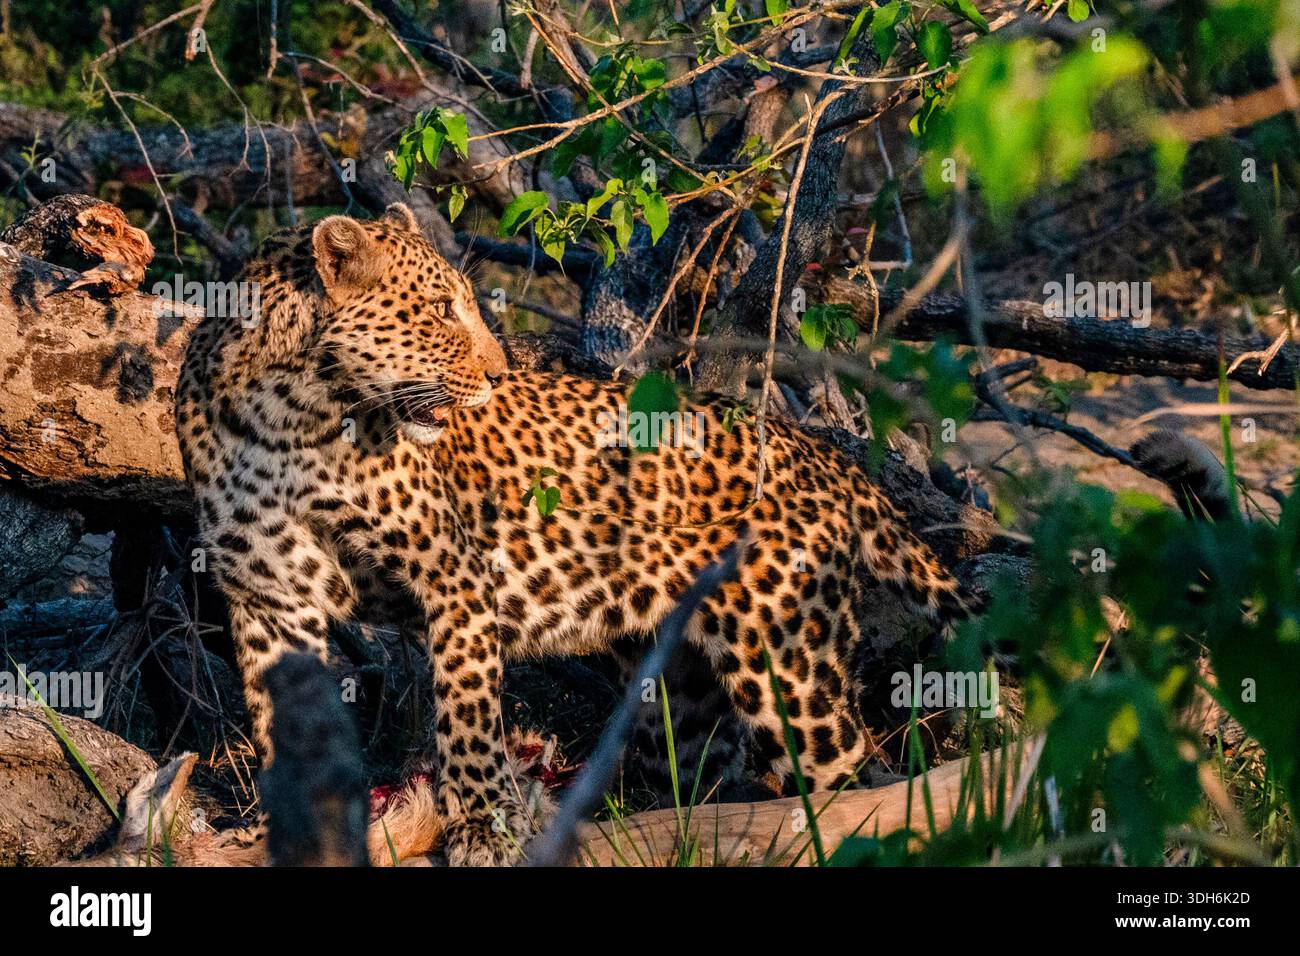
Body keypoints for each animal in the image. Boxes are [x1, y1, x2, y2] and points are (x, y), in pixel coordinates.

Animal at [176, 203, 977, 865]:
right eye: (438, 311)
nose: (498, 375)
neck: (289, 417)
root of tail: (821, 451)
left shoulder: (454, 578)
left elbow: (467, 716)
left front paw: (482, 827)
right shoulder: (269, 599)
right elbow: (283, 727)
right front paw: (286, 829)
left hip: (790, 665)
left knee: (859, 779)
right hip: (681, 694)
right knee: (703, 781)